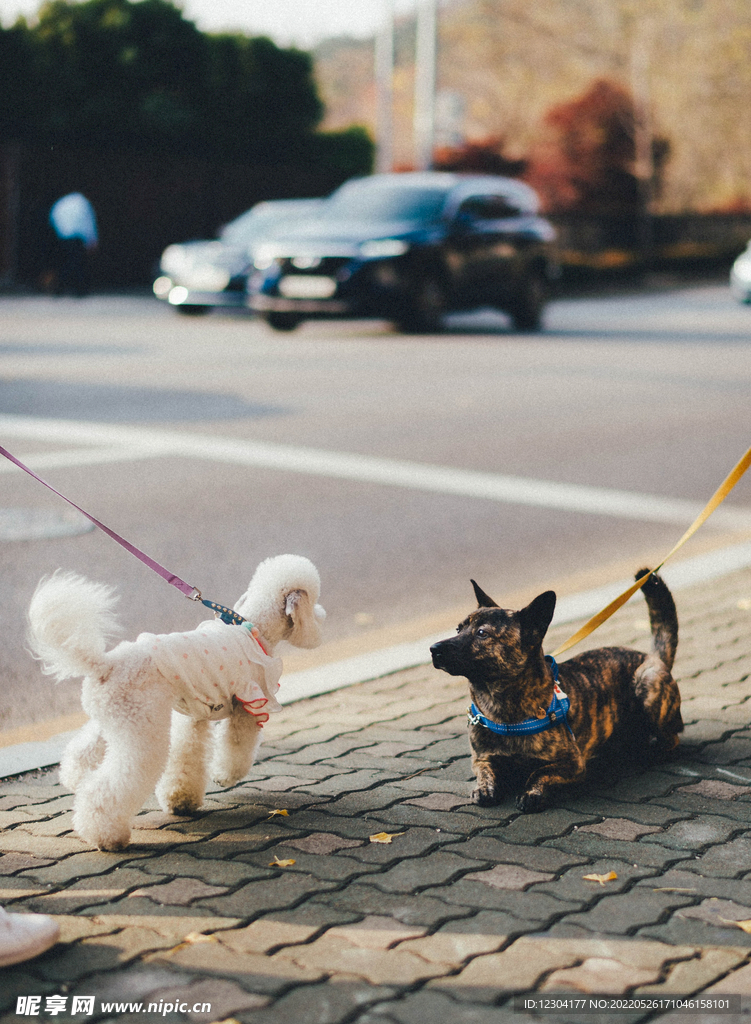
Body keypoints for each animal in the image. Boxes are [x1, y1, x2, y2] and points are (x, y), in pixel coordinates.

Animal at [428, 573, 680, 811]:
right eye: (458, 629)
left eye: (482, 633)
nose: (433, 649)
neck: (501, 705)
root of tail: (653, 657)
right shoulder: (482, 758)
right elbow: (485, 771)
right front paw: (483, 788)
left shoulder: (573, 763)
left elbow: (539, 772)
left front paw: (532, 793)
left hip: (648, 684)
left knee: (672, 738)